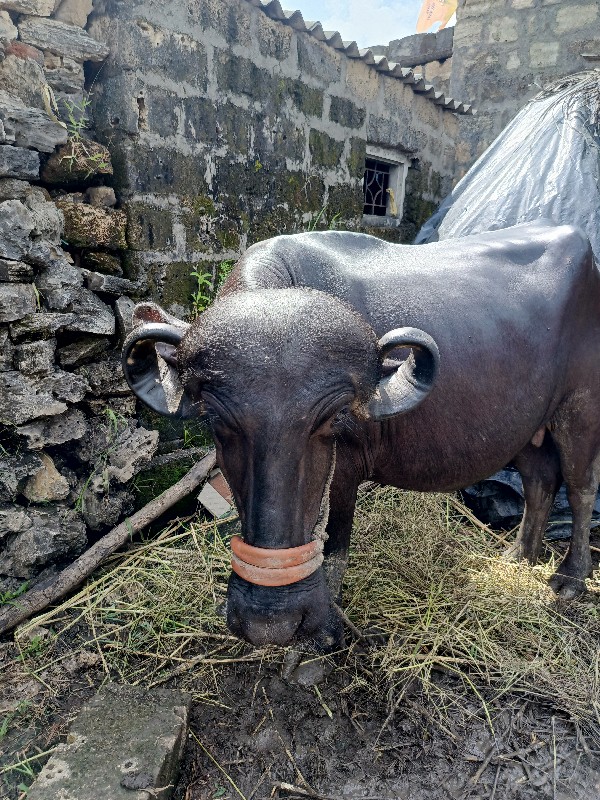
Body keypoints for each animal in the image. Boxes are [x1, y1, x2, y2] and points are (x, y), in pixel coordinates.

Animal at [122, 220, 600, 648]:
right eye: (215, 421)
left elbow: (336, 540)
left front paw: (324, 630)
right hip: (527, 427)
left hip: (580, 412)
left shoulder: (348, 466)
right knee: (540, 481)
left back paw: (570, 578)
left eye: (331, 420)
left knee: (579, 488)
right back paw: (518, 556)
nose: (270, 624)